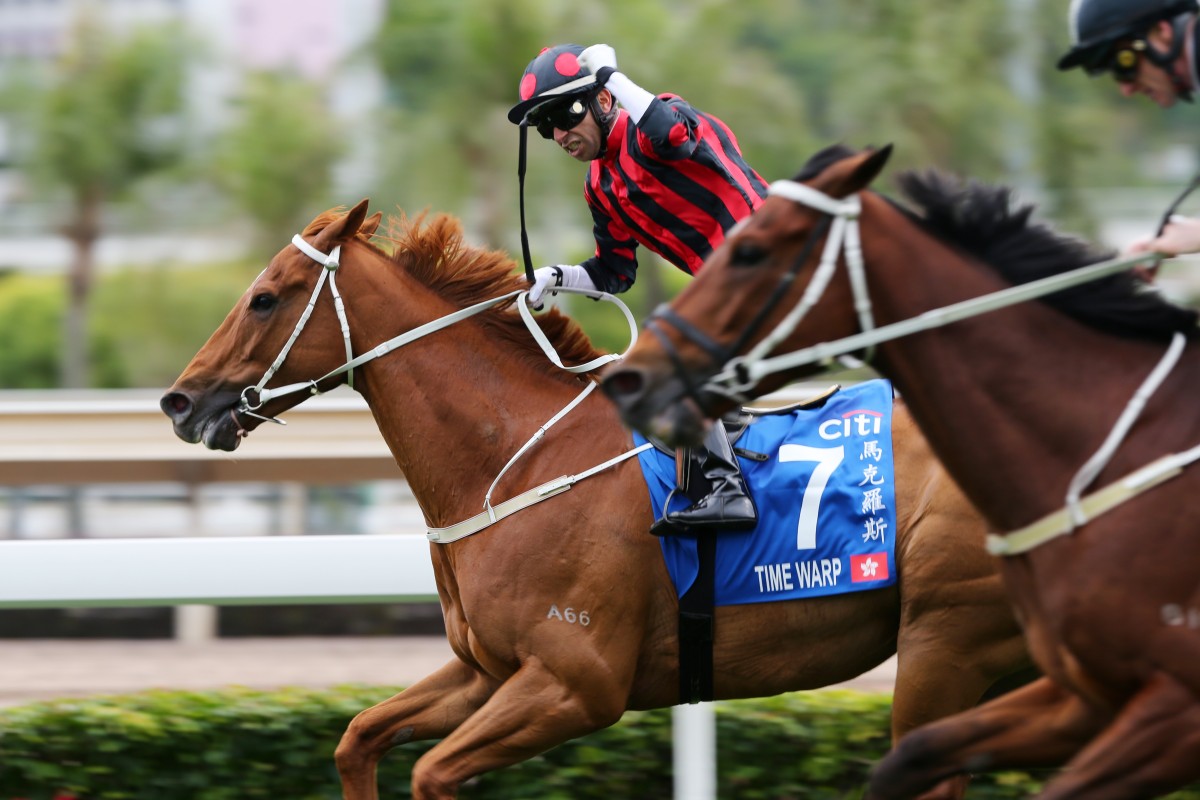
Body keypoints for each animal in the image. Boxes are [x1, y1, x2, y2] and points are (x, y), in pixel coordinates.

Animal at [157, 200, 1022, 800]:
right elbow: (359, 737)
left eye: (266, 297)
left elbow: (433, 772)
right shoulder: (488, 670)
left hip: (943, 642)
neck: (518, 458)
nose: (178, 401)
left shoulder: (576, 683)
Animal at [600, 140, 1200, 796]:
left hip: (944, 643)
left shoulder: (1172, 705)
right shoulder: (1088, 692)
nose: (632, 379)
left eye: (749, 251)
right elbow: (906, 763)